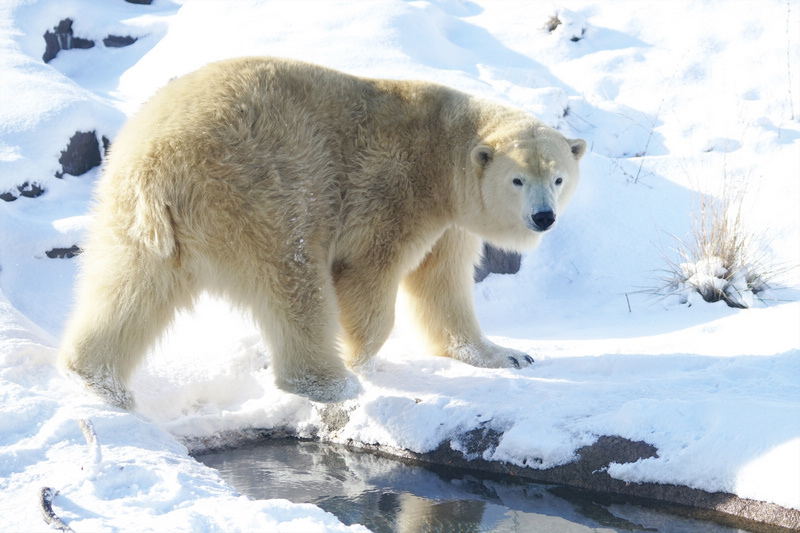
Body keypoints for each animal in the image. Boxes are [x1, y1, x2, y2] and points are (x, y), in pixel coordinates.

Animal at [59, 57, 588, 408]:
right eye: (518, 179)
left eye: (558, 178)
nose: (544, 217)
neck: (442, 145)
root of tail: (159, 165)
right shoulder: (395, 190)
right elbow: (369, 275)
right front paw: (364, 360)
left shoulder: (451, 220)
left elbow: (442, 285)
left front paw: (508, 354)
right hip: (258, 191)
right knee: (293, 279)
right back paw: (333, 382)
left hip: (131, 216)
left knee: (129, 286)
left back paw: (96, 379)